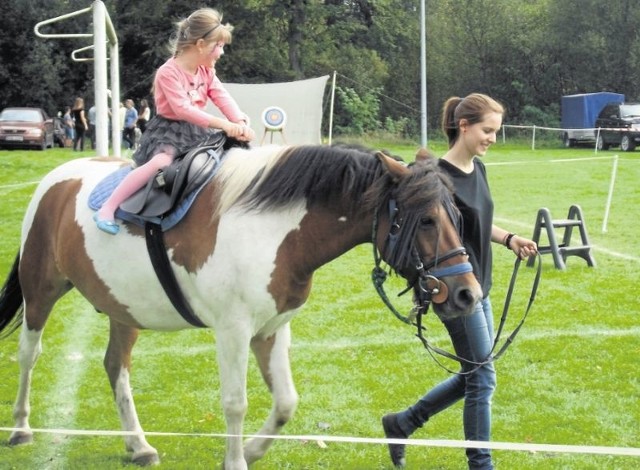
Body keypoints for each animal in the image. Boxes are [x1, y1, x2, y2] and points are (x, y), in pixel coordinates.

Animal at [0, 145, 480, 468]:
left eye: (456, 217)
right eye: (426, 220)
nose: (467, 294)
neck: (272, 231)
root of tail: (57, 181)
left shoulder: (272, 329)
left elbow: (286, 402)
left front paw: (252, 449)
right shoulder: (232, 331)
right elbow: (235, 403)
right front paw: (236, 459)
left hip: (123, 309)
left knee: (116, 366)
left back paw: (139, 445)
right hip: (41, 291)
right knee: (29, 355)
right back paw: (21, 427)